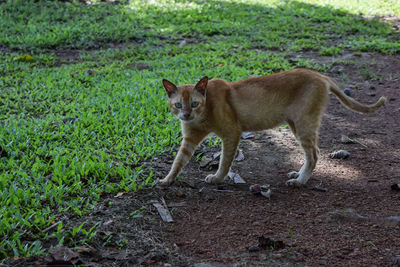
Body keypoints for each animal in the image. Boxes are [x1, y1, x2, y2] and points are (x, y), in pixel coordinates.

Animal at [158, 68, 386, 186]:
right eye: (178, 105)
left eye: (194, 103)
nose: (186, 115)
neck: (202, 116)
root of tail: (321, 75)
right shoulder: (189, 139)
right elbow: (178, 162)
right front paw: (166, 181)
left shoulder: (232, 134)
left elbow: (224, 162)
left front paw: (217, 178)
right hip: (297, 125)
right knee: (313, 153)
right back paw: (298, 175)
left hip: (304, 125)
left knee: (313, 154)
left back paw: (300, 181)